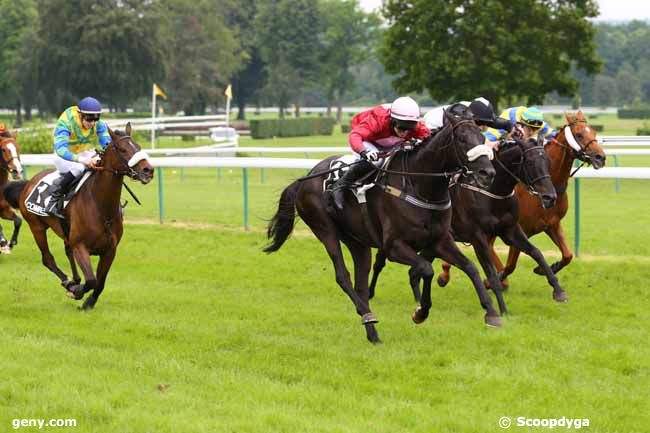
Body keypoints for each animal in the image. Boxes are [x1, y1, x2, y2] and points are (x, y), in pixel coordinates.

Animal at [3, 123, 152, 308]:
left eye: (138, 147)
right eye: (122, 149)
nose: (148, 170)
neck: (101, 207)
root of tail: (28, 183)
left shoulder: (110, 250)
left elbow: (100, 282)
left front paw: (89, 302)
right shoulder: (81, 246)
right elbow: (92, 280)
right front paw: (77, 291)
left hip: (65, 233)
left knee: (67, 251)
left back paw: (74, 280)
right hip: (36, 227)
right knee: (47, 259)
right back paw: (68, 282)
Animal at [264, 115, 496, 344]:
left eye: (482, 138)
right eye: (462, 140)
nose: (488, 173)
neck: (419, 185)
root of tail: (305, 178)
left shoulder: (439, 240)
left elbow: (471, 267)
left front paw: (491, 313)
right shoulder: (394, 246)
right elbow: (426, 269)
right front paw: (420, 312)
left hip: (357, 240)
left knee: (361, 283)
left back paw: (372, 333)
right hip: (324, 229)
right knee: (343, 276)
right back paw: (368, 315)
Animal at [488, 111, 604, 286]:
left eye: (594, 132)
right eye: (579, 134)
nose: (601, 157)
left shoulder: (552, 224)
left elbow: (568, 255)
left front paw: (544, 269)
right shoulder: (519, 229)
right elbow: (510, 266)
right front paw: (494, 280)